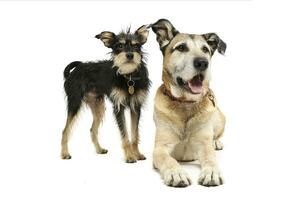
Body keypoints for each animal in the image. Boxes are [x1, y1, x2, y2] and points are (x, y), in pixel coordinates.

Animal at [60, 25, 150, 162]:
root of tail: (77, 68)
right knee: (65, 130)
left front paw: (137, 154)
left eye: (136, 46)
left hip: (98, 106)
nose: (130, 55)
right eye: (119, 46)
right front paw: (129, 156)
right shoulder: (119, 107)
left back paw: (99, 149)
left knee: (92, 130)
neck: (128, 77)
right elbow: (125, 134)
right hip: (75, 103)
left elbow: (134, 134)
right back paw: (65, 153)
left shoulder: (136, 107)